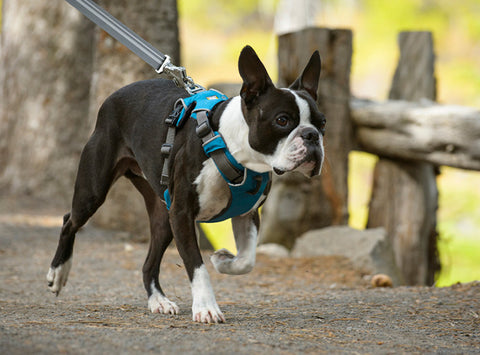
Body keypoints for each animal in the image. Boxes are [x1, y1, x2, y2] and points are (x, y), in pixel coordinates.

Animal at [47, 46, 326, 324]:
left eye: (322, 123)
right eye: (282, 120)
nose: (311, 135)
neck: (234, 151)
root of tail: (112, 97)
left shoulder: (246, 214)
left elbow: (247, 260)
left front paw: (223, 260)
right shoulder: (182, 214)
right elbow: (197, 266)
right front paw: (206, 307)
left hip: (163, 216)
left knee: (148, 264)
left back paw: (159, 301)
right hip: (94, 192)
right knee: (69, 221)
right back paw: (58, 272)